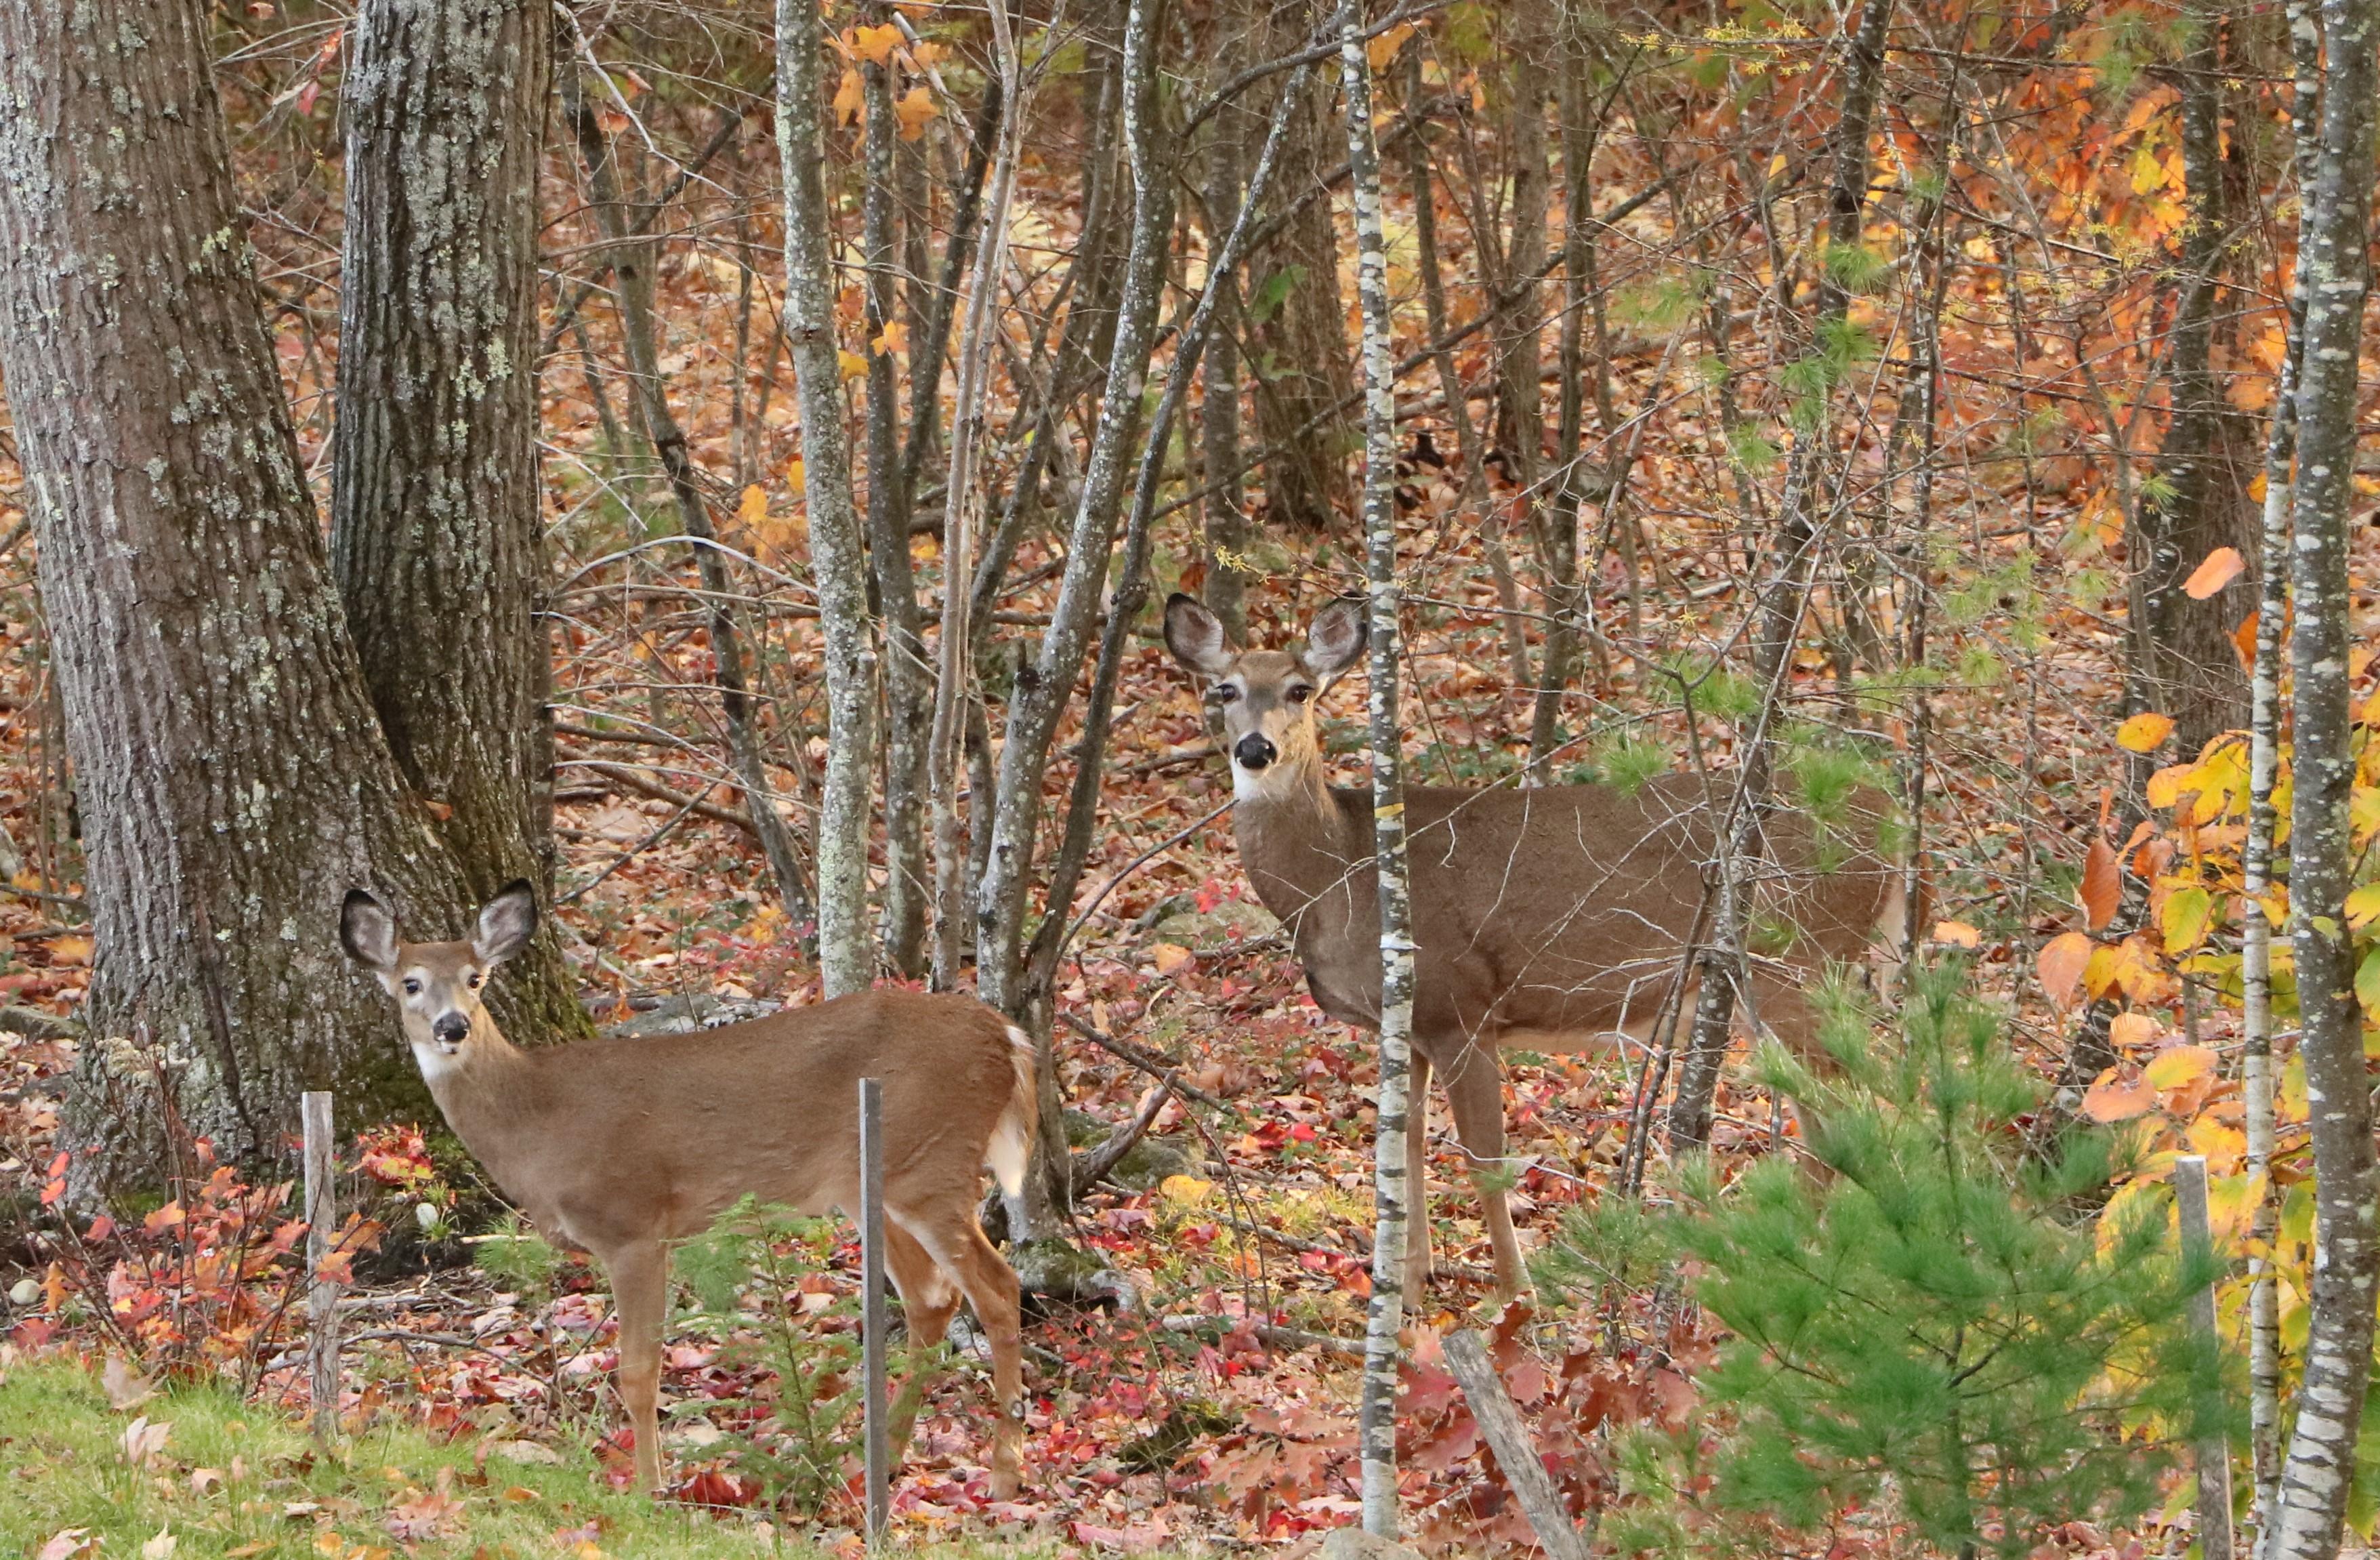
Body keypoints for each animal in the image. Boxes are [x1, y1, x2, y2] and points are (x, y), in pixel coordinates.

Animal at [339, 881, 1035, 1497]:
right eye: (411, 983)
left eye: (476, 978)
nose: (453, 1026)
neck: (539, 1123)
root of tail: (1006, 1038)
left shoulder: (634, 1224)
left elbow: (639, 1371)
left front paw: (651, 1489)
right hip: (874, 1183)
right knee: (932, 1299)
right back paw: (884, 1460)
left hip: (930, 1162)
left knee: (998, 1289)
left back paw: (1001, 1476)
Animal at [1163, 593, 1904, 1297]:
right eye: (1226, 689)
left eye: (1300, 690)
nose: (1254, 750)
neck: (1339, 874)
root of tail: (1891, 823)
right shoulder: (1407, 1026)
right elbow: (1404, 1148)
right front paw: (1411, 1285)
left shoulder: (1458, 1005)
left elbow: (1484, 1160)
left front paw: (1518, 1294)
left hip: (1796, 960)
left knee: (1847, 1112)